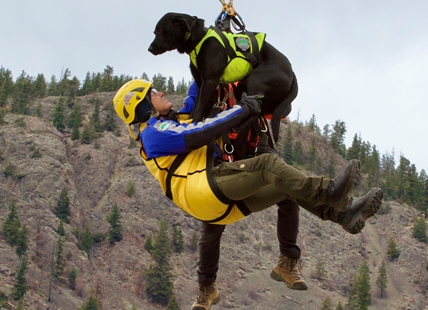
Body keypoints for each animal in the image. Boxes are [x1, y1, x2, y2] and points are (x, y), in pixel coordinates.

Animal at [149, 10, 296, 144]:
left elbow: (198, 110)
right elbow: (196, 107)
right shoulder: (200, 82)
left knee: (255, 109)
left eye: (161, 30)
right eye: (155, 32)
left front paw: (194, 123)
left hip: (256, 79)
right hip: (243, 86)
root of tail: (292, 73)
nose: (150, 49)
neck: (199, 39)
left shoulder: (209, 82)